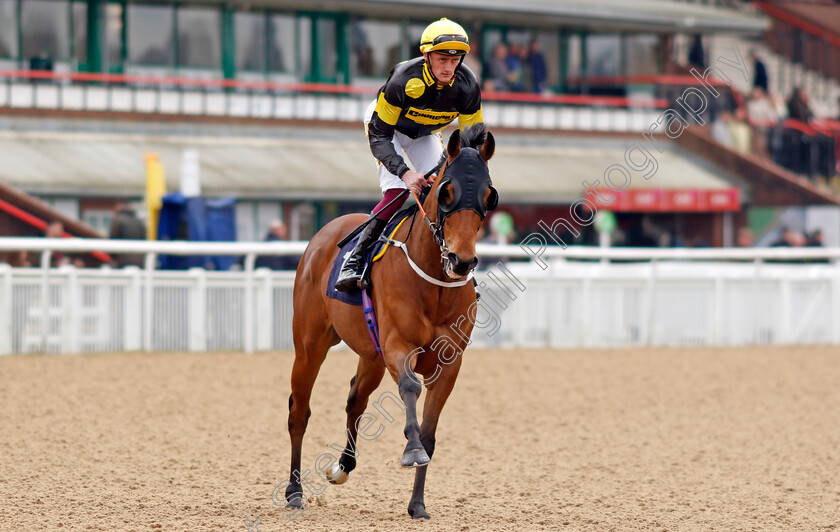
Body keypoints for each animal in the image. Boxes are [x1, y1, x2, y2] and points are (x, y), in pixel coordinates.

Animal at [288, 122, 496, 516]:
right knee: (299, 411)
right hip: (309, 346)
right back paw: (293, 492)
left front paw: (417, 504)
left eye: (489, 196)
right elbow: (410, 387)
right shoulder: (399, 344)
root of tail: (326, 232)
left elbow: (430, 433)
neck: (434, 281)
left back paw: (341, 467)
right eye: (446, 192)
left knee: (355, 399)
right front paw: (411, 450)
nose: (461, 261)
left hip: (371, 355)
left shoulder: (449, 363)